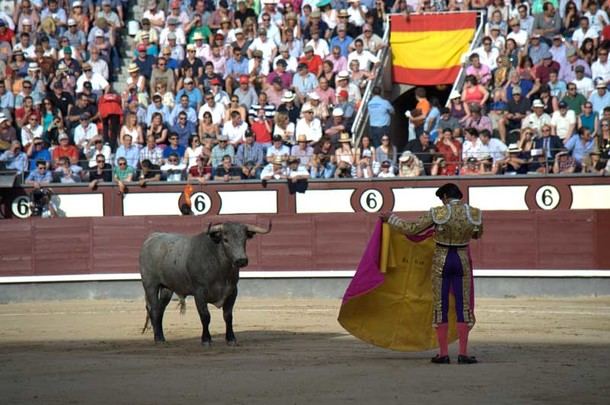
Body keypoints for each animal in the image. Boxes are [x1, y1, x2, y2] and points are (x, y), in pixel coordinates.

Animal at [140, 221, 270, 344]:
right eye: (225, 239)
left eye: (244, 239)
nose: (241, 260)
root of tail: (152, 237)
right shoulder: (199, 293)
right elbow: (205, 316)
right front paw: (206, 340)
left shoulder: (232, 291)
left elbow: (228, 316)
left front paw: (231, 339)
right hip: (150, 286)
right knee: (154, 309)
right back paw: (158, 339)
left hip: (167, 289)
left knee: (160, 310)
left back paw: (161, 337)